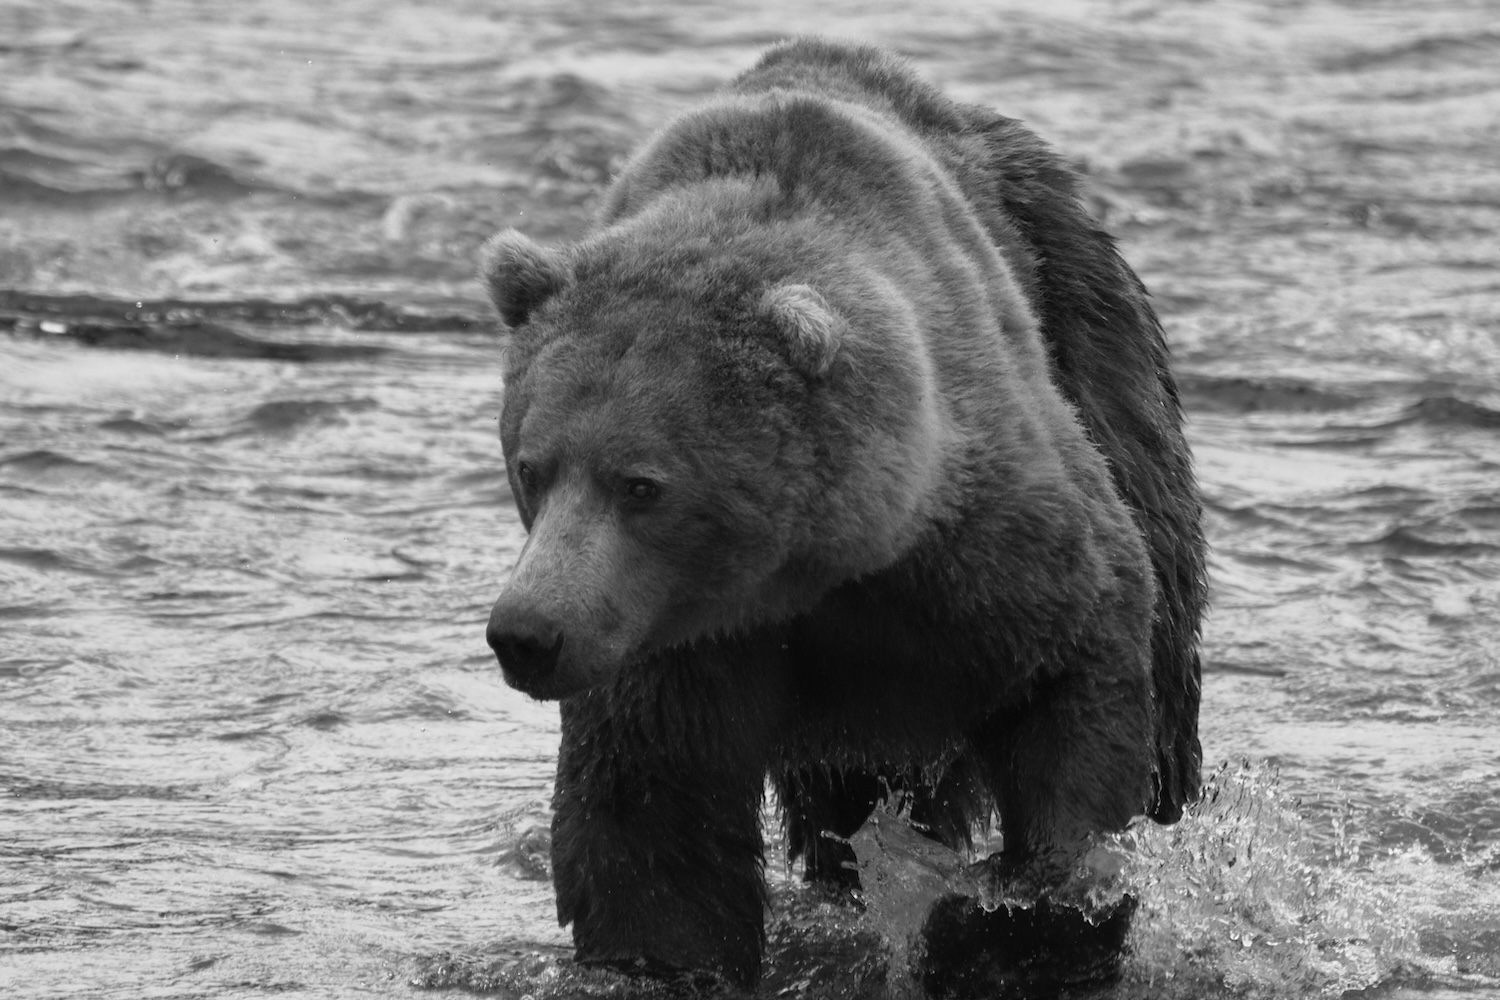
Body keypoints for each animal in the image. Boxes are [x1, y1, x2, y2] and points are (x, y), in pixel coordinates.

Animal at [480, 38, 1205, 991]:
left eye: (640, 484)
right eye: (531, 467)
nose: (527, 632)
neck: (819, 563)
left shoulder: (989, 542)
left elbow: (1080, 680)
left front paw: (1014, 921)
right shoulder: (672, 640)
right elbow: (653, 811)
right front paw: (662, 960)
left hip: (1091, 322)